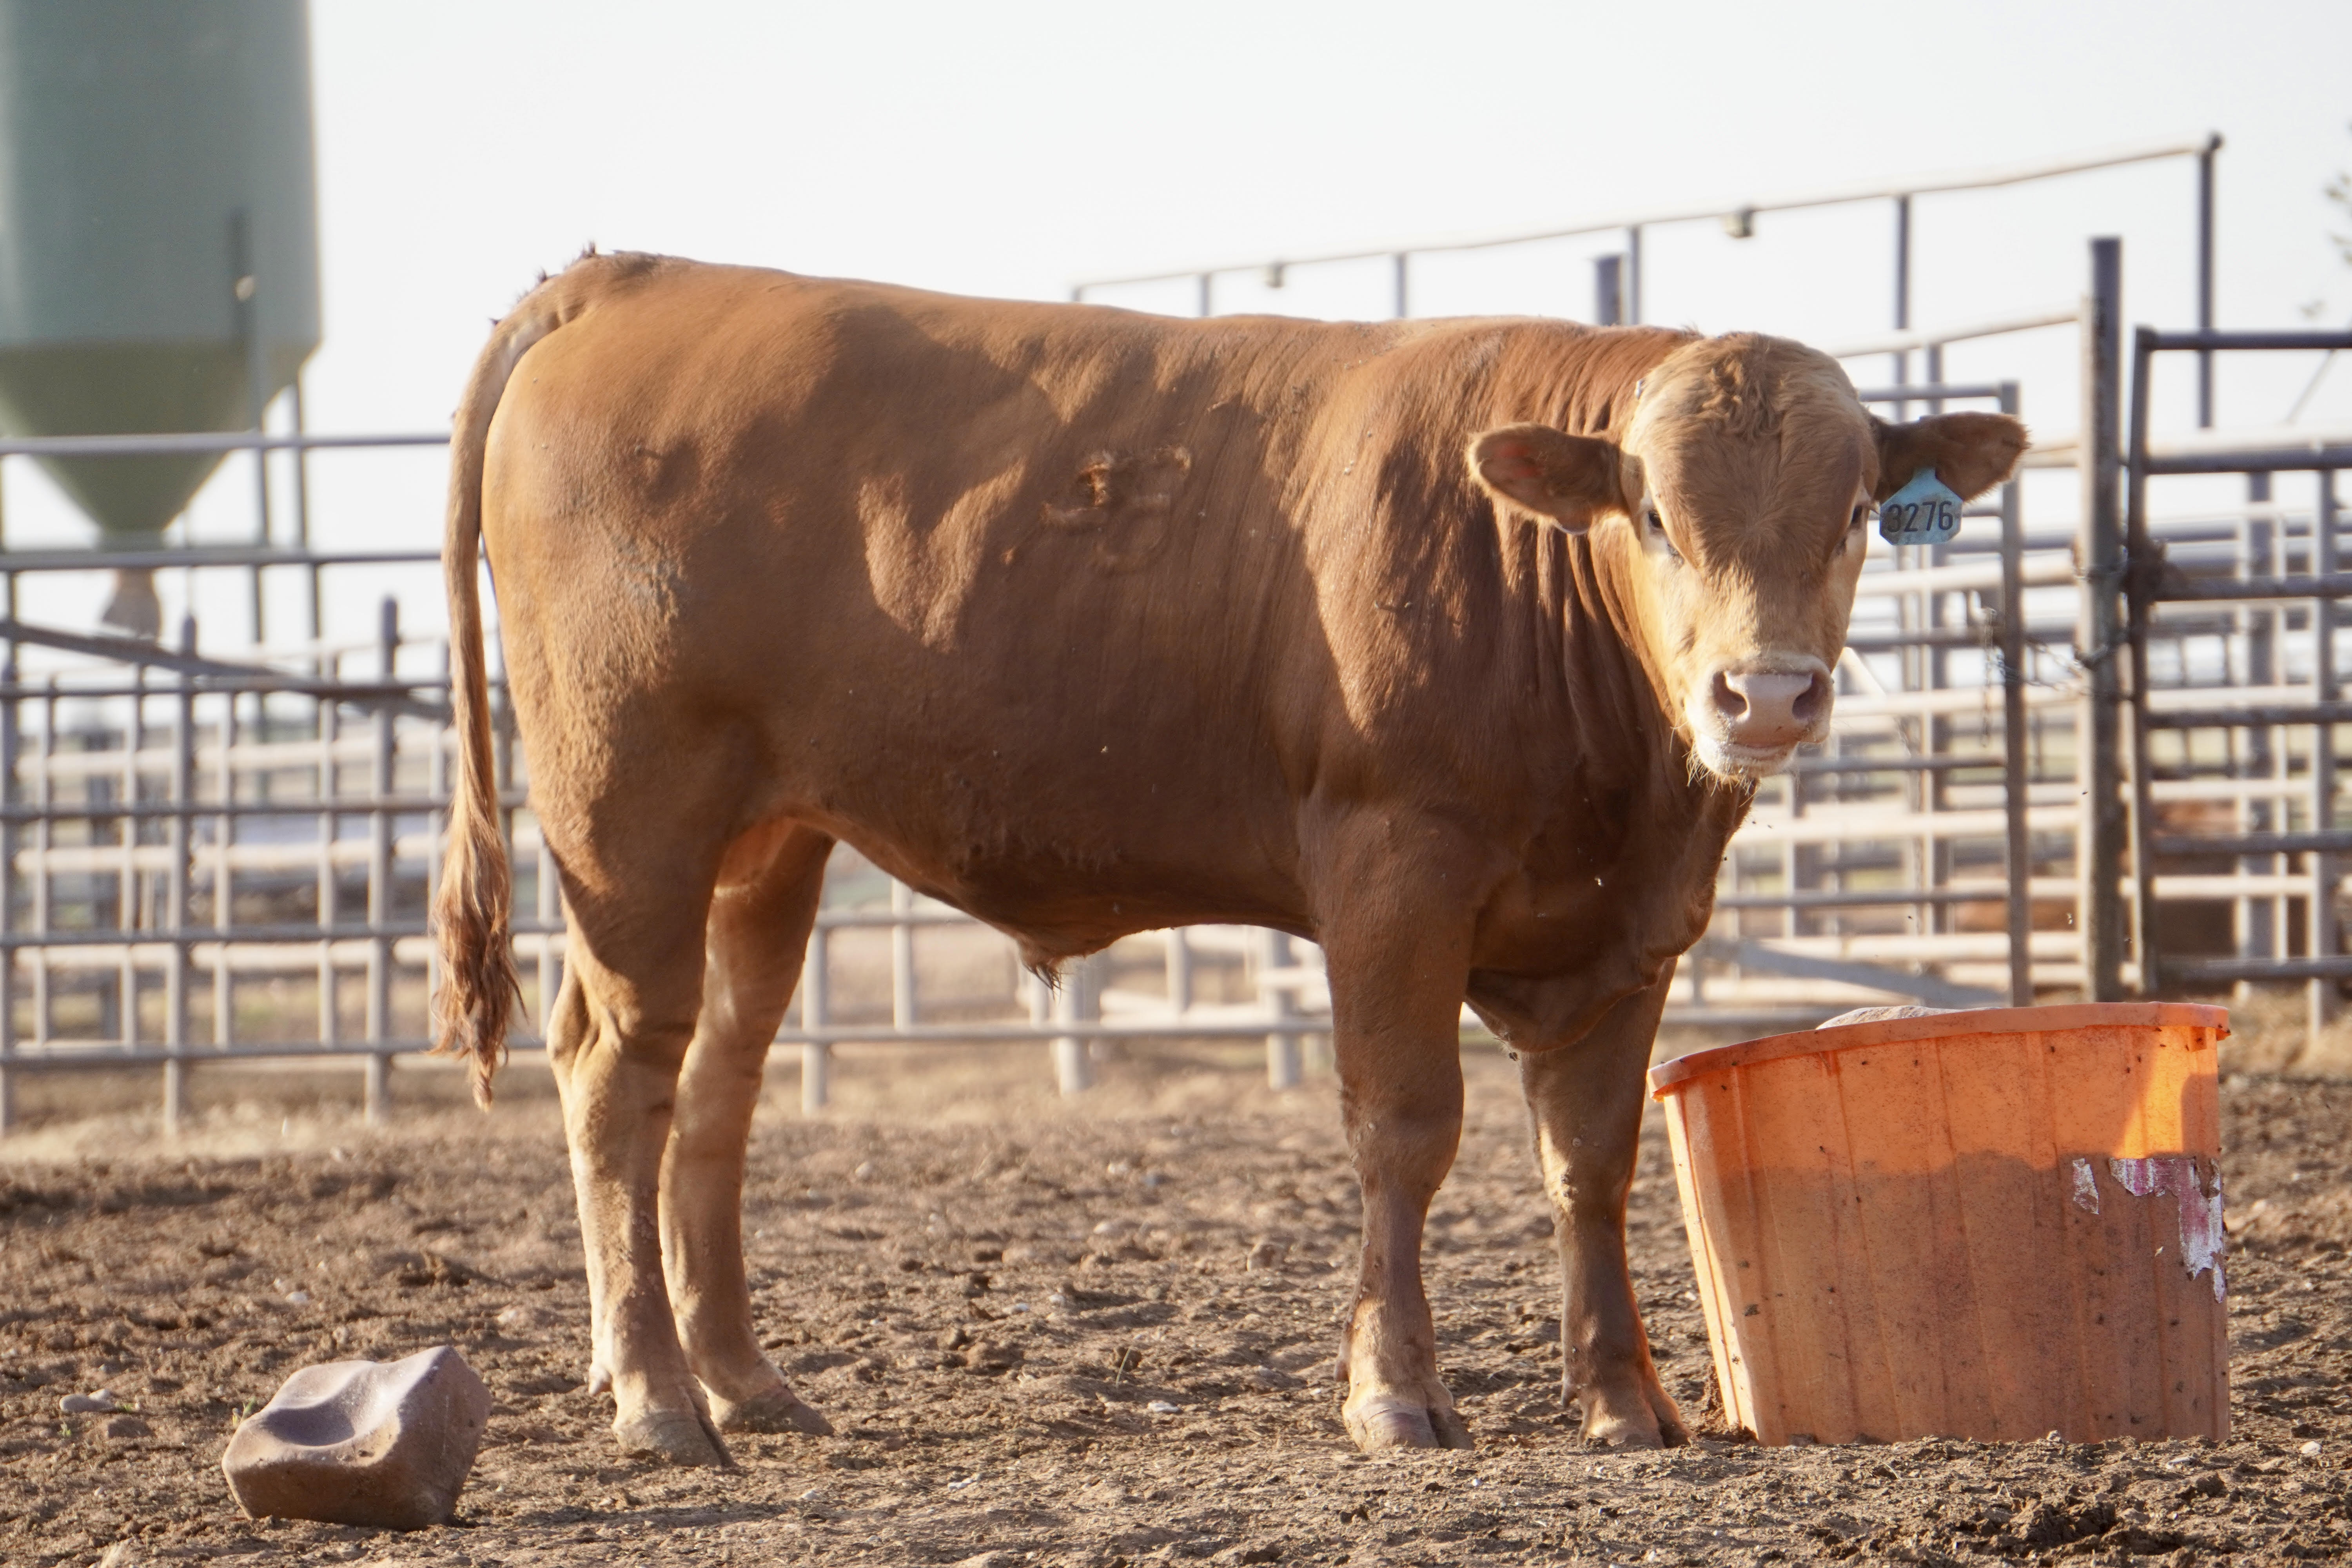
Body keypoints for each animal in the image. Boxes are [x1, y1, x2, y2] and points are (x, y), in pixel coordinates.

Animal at [437, 251, 2023, 1467]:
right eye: (1651, 515)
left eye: (1857, 511)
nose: (1763, 696)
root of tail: (629, 277)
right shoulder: (1393, 868)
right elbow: (1405, 1127)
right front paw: (1393, 1393)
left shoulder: (1631, 927)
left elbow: (1589, 1158)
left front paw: (1622, 1401)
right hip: (627, 813)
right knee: (618, 1069)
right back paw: (657, 1401)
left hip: (766, 843)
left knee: (716, 1084)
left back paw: (741, 1380)